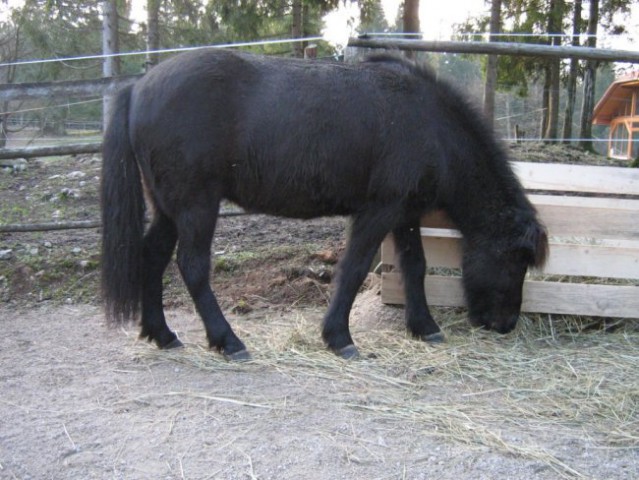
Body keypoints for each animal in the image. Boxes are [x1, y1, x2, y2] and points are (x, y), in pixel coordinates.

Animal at [102, 48, 548, 358]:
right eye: (516, 261)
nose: (506, 324)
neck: (430, 124)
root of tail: (138, 87)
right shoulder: (378, 211)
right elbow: (354, 269)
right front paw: (339, 338)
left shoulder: (404, 214)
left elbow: (415, 267)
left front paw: (424, 327)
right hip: (197, 205)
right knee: (192, 267)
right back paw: (228, 341)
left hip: (168, 208)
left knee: (152, 257)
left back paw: (162, 335)